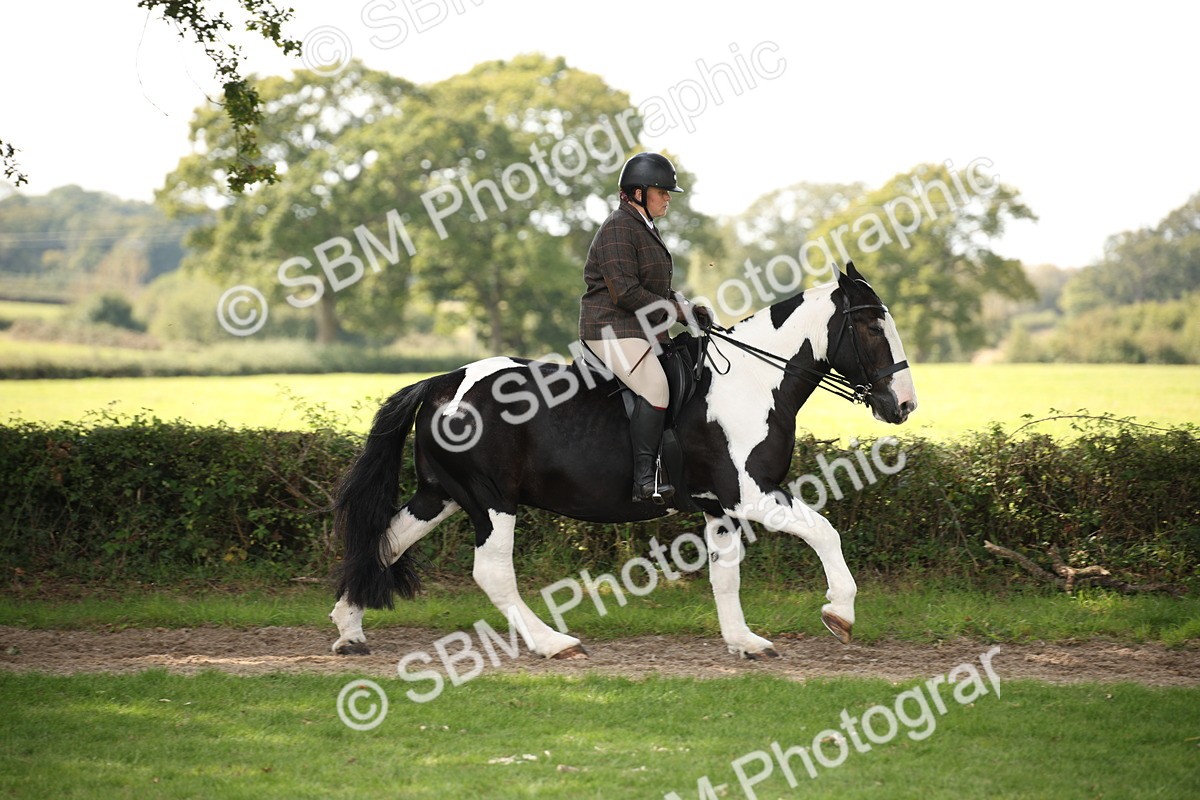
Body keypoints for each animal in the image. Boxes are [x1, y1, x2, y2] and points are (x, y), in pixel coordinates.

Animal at [329, 261, 917, 660]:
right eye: (872, 327)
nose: (904, 405)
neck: (752, 381)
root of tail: (441, 383)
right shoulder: (750, 494)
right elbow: (824, 532)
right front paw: (839, 613)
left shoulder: (720, 508)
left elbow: (725, 575)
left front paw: (744, 641)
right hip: (492, 501)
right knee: (491, 572)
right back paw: (553, 642)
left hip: (443, 496)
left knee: (384, 540)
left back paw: (349, 629)